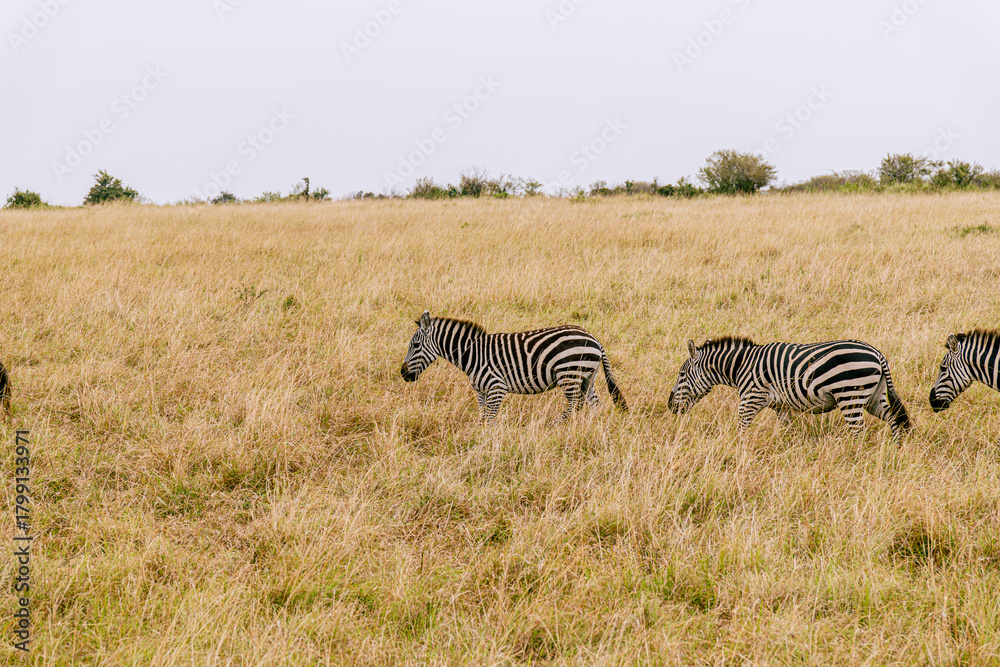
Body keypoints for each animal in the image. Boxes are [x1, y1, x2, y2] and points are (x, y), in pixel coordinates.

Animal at [400, 310, 628, 421]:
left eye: (416, 345)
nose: (403, 374)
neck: (472, 354)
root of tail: (595, 339)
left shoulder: (497, 388)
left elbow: (489, 419)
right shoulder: (481, 392)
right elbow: (483, 418)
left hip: (569, 374)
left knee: (576, 404)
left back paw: (555, 425)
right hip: (587, 377)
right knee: (594, 405)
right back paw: (593, 429)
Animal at [667, 336, 911, 438]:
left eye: (681, 375)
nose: (670, 407)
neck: (740, 366)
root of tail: (878, 354)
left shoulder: (750, 399)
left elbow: (740, 429)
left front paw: (738, 450)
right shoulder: (780, 406)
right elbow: (787, 430)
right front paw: (788, 450)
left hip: (850, 396)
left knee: (858, 433)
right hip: (873, 397)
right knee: (894, 419)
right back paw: (895, 449)